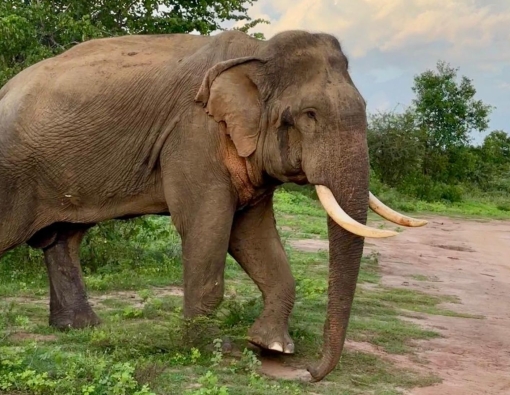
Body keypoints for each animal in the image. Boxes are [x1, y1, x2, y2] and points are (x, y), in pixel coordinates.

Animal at [0, 29, 426, 382]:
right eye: (310, 115)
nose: (311, 372)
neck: (257, 53)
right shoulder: (193, 134)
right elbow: (205, 224)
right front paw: (209, 349)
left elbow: (252, 235)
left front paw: (270, 347)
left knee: (63, 239)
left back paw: (81, 328)